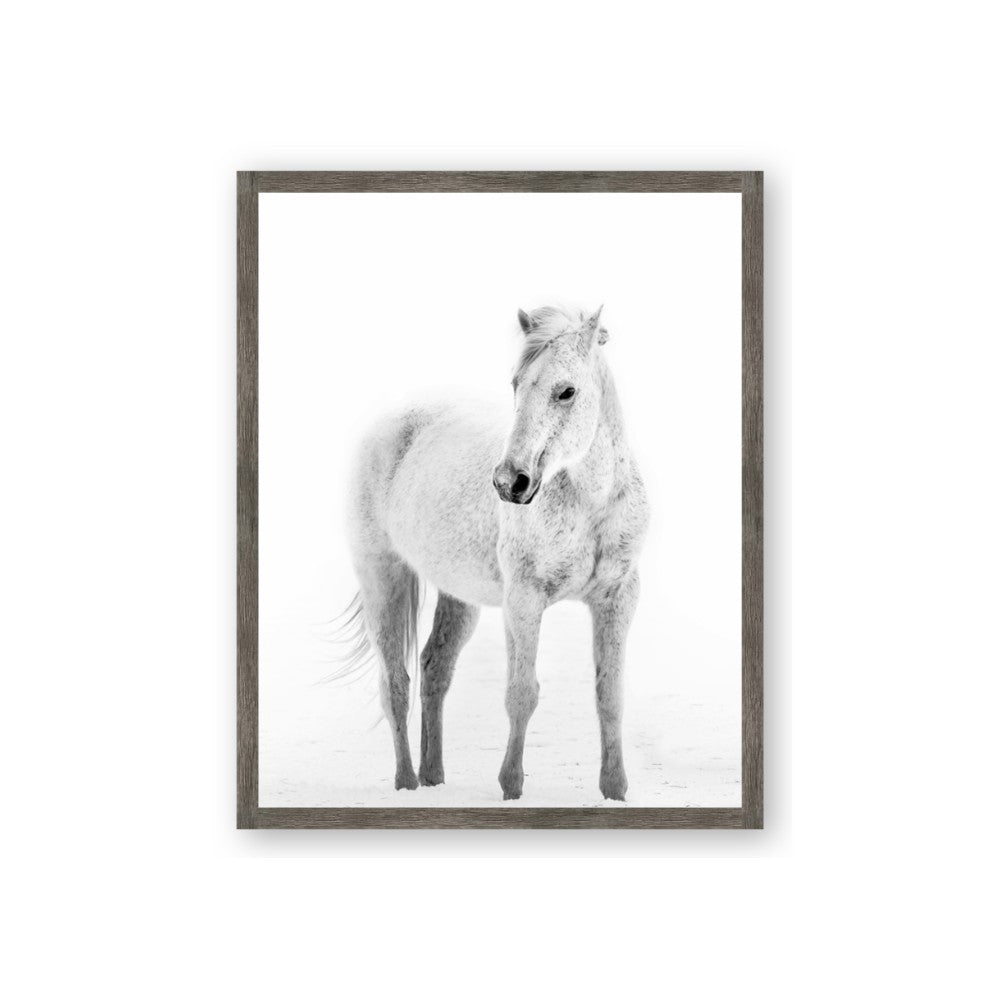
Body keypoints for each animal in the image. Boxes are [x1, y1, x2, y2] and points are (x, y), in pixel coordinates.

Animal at [341, 305, 649, 800]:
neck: (590, 504)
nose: (510, 482)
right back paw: (407, 783)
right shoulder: (523, 600)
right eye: (516, 384)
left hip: (458, 596)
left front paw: (615, 790)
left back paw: (433, 776)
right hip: (381, 577)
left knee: (434, 669)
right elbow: (521, 693)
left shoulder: (618, 597)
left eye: (567, 391)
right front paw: (511, 786)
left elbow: (610, 695)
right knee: (396, 684)